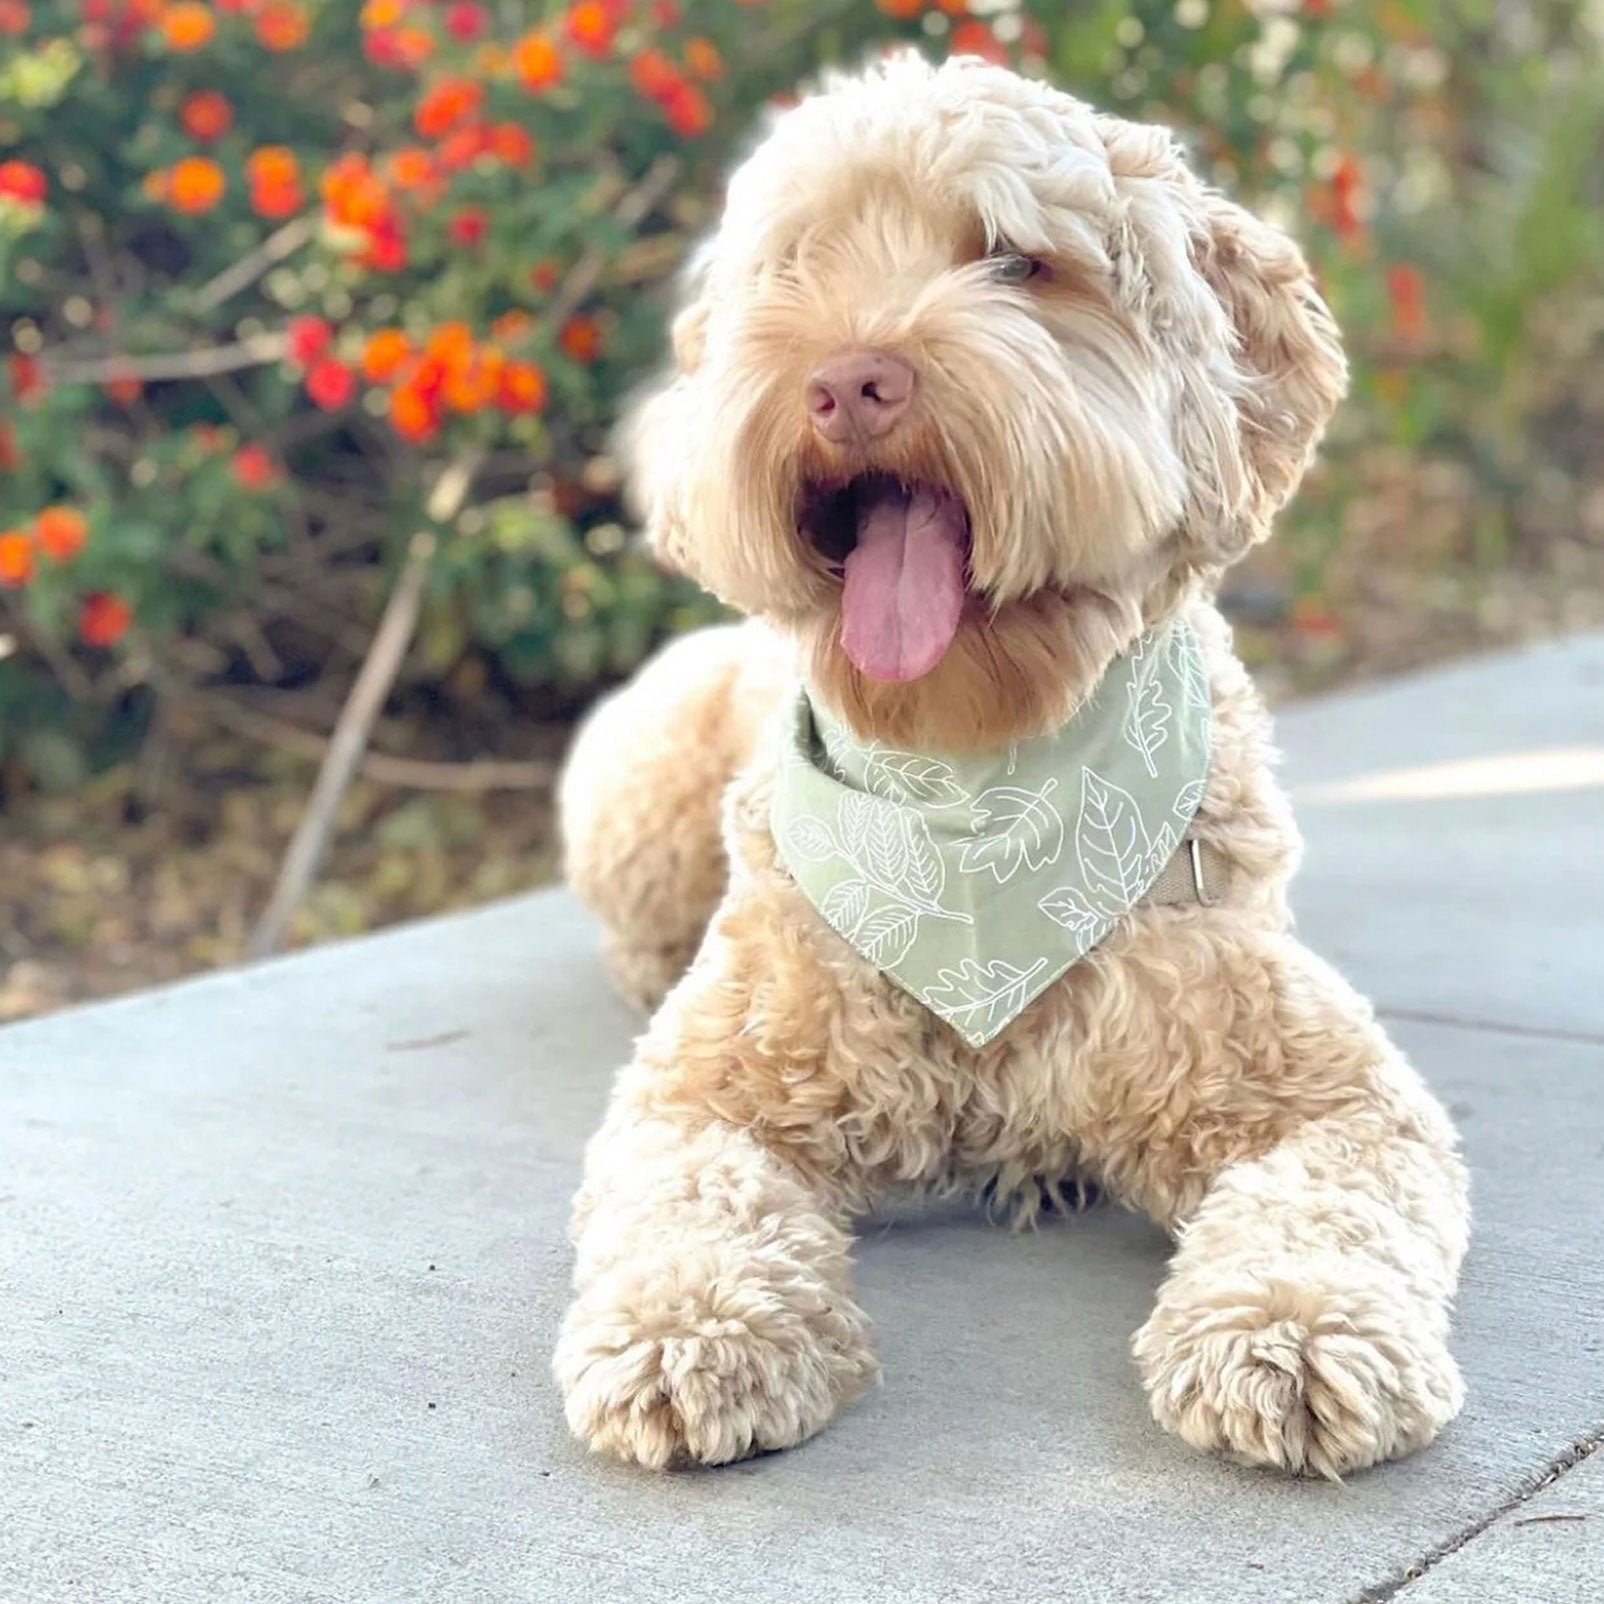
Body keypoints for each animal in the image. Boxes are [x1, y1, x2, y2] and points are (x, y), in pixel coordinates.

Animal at [551, 50, 1469, 1475]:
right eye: (796, 263)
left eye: (1013, 261)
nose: (848, 381)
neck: (972, 788)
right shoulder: (706, 1085)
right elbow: (687, 1184)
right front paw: (687, 1324)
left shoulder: (1322, 1089)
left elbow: (1332, 1196)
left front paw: (1293, 1327)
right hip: (633, 793)